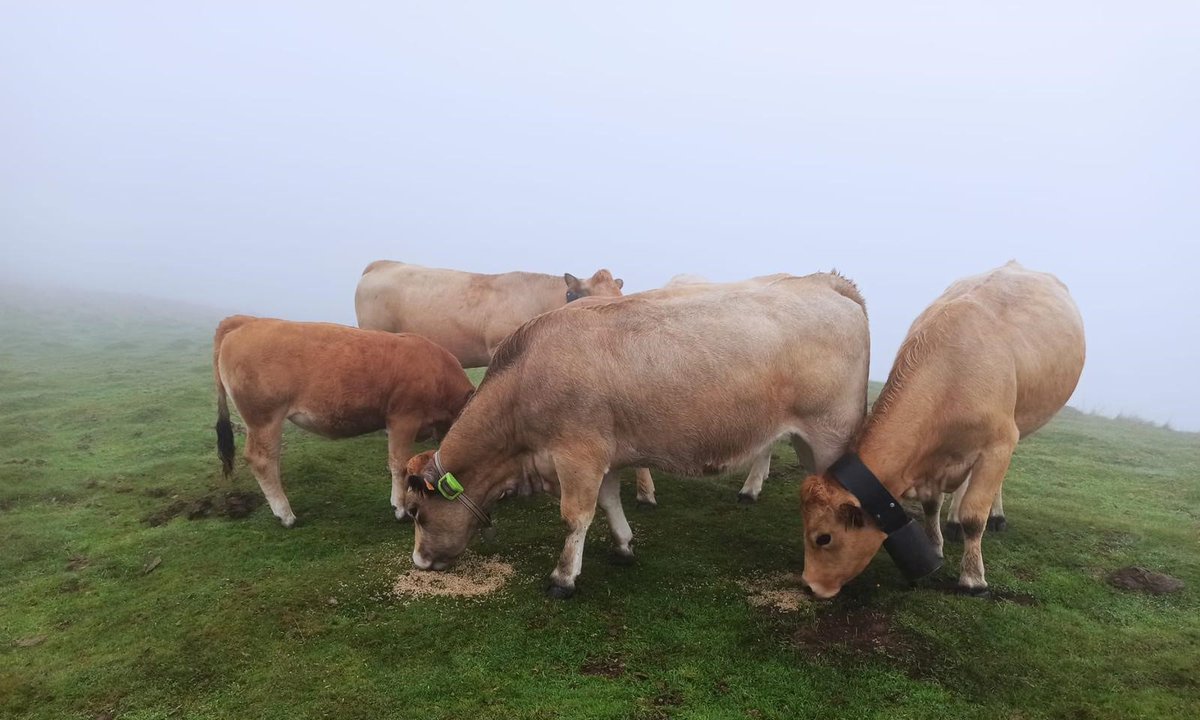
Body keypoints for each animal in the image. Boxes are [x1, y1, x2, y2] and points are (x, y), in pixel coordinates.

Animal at [213, 316, 476, 527]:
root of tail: (247, 321)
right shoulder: (403, 419)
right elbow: (399, 463)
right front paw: (400, 507)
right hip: (264, 418)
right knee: (262, 460)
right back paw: (285, 514)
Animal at [401, 273, 870, 598]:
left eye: (418, 513)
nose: (419, 560)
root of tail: (825, 282)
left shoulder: (577, 455)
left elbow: (575, 516)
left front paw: (563, 578)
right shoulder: (603, 452)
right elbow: (609, 502)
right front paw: (623, 545)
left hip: (830, 436)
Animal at [799, 261, 1085, 598]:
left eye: (823, 538)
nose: (810, 585)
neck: (951, 375)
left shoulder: (999, 442)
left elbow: (975, 515)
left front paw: (973, 578)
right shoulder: (934, 462)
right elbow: (931, 505)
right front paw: (936, 547)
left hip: (1017, 426)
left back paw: (995, 516)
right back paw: (954, 521)